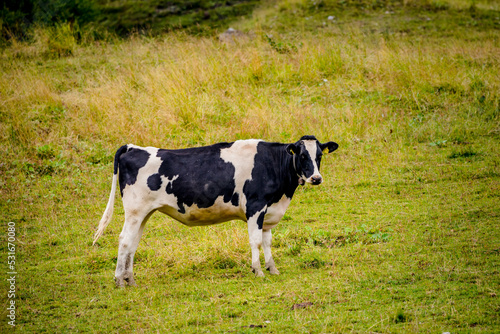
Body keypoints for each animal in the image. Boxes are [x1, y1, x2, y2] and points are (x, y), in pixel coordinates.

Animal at [92, 136, 338, 288]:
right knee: (124, 240)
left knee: (133, 243)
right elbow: (256, 241)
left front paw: (273, 269)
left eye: (319, 156)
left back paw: (130, 279)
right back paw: (119, 280)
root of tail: (133, 147)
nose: (316, 178)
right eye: (302, 155)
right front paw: (257, 270)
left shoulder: (269, 212)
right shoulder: (255, 207)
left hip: (144, 214)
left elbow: (267, 242)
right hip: (135, 211)